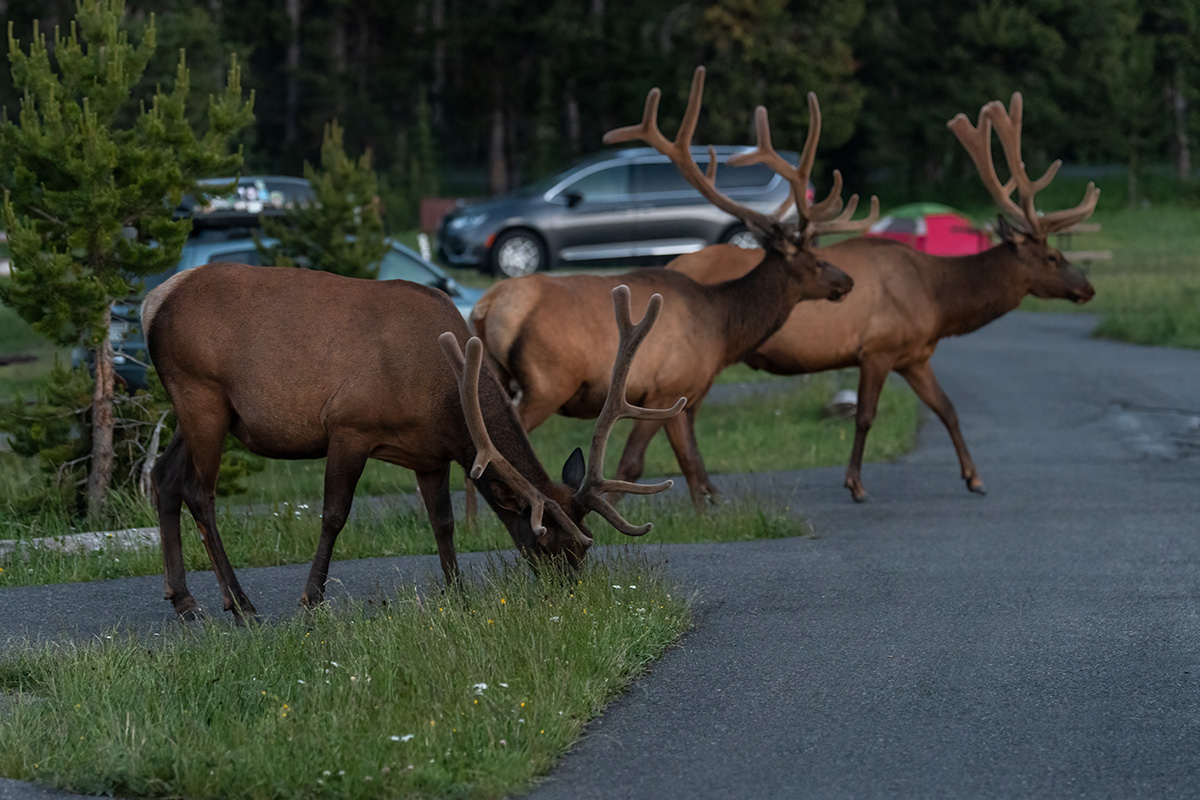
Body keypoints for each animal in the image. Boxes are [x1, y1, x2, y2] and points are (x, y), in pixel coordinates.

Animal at [141, 261, 681, 618]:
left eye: (583, 549)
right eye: (546, 541)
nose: (570, 596)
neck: (444, 399)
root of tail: (152, 301)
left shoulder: (431, 455)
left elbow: (443, 522)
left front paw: (457, 593)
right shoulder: (349, 426)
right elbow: (334, 515)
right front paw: (311, 599)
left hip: (201, 410)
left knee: (163, 476)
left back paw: (184, 600)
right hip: (202, 394)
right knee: (199, 492)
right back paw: (239, 603)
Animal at [472, 67, 878, 506]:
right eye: (817, 259)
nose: (847, 281)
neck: (722, 329)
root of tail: (485, 306)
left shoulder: (682, 397)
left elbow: (694, 467)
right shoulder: (664, 390)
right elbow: (634, 465)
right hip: (546, 382)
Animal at [619, 92, 1099, 501]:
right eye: (1053, 256)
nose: (1088, 287)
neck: (938, 302)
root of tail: (676, 266)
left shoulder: (915, 355)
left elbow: (948, 409)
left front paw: (974, 478)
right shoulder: (878, 348)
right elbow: (866, 417)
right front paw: (856, 485)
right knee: (681, 416)